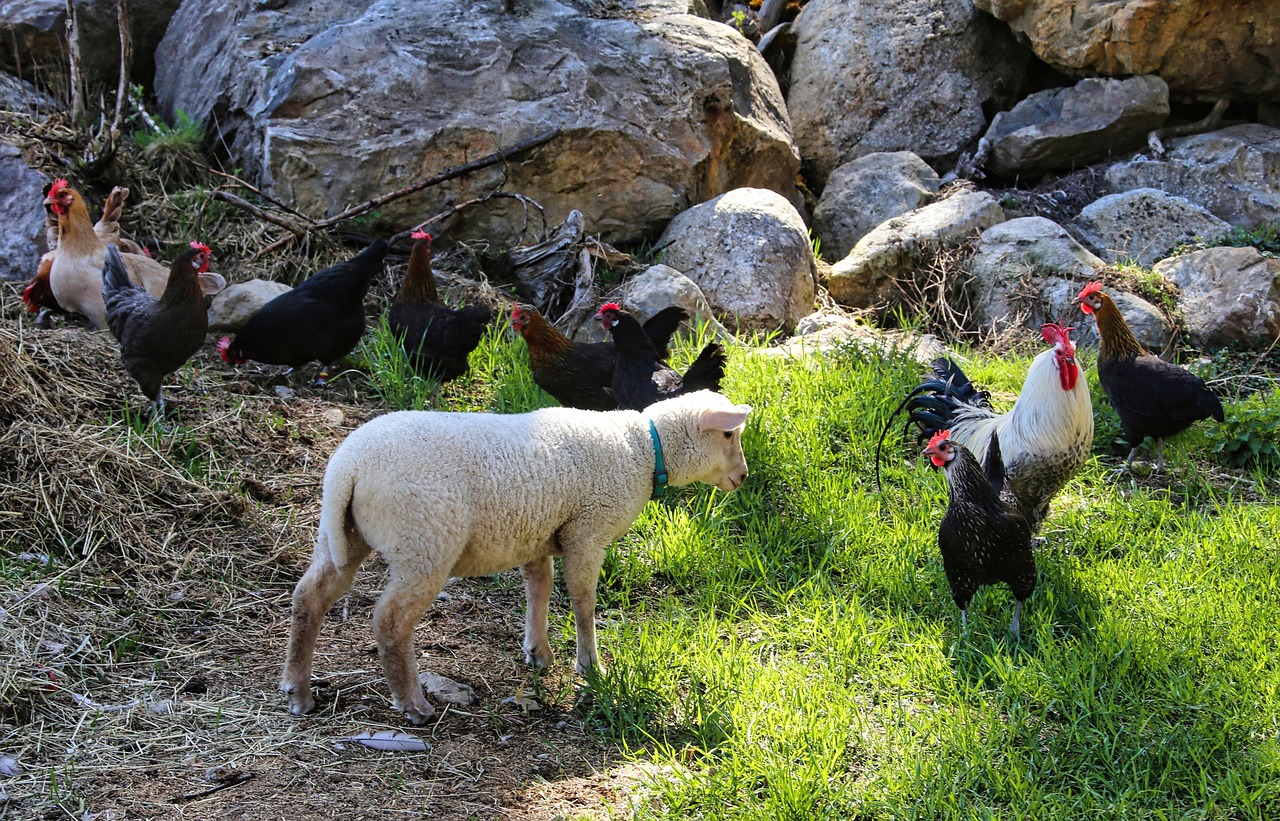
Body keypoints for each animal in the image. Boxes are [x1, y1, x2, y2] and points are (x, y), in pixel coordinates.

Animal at [281, 389, 752, 724]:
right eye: (729, 434)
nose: (744, 476)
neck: (640, 449)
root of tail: (349, 467)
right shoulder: (587, 533)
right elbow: (583, 602)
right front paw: (589, 666)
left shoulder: (538, 535)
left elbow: (538, 590)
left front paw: (538, 652)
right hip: (425, 542)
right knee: (390, 621)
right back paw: (413, 704)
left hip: (341, 535)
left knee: (309, 598)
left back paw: (298, 691)